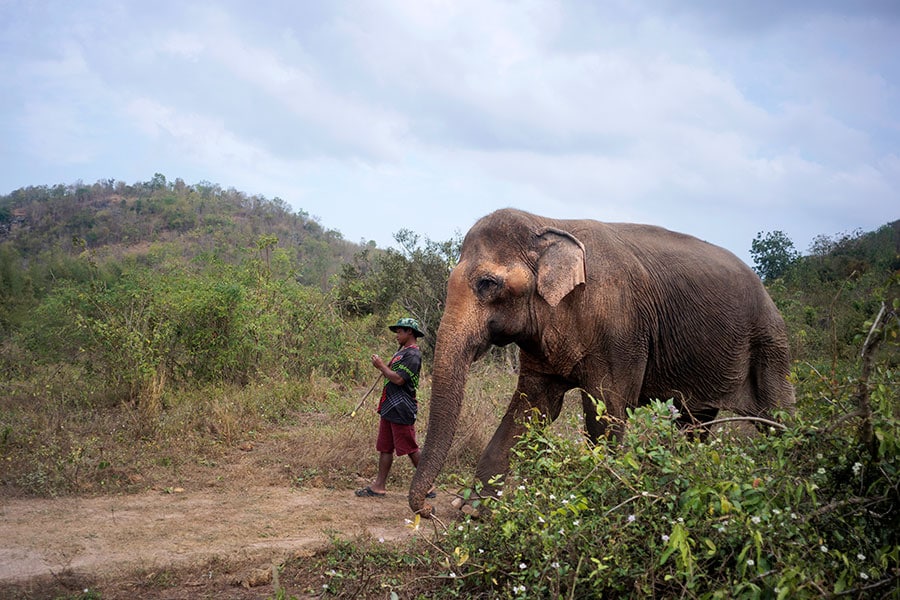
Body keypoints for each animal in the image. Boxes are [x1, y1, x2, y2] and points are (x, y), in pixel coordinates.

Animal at [410, 209, 796, 512]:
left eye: (488, 284)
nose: (428, 507)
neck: (548, 223)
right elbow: (532, 409)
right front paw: (473, 510)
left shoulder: (622, 332)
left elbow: (606, 413)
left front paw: (597, 499)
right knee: (695, 423)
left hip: (770, 343)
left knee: (775, 419)